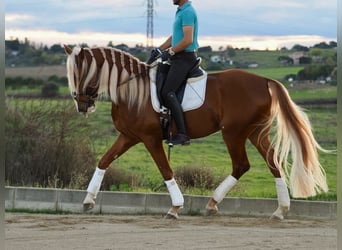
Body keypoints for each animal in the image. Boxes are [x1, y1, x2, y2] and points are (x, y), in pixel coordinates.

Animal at [64, 44, 328, 220]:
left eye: (79, 73)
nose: (82, 106)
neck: (131, 89)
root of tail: (264, 80)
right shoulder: (128, 136)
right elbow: (104, 161)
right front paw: (88, 200)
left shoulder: (150, 138)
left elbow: (165, 169)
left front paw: (175, 207)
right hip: (255, 132)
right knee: (272, 162)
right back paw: (279, 209)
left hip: (234, 133)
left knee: (242, 165)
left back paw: (214, 203)